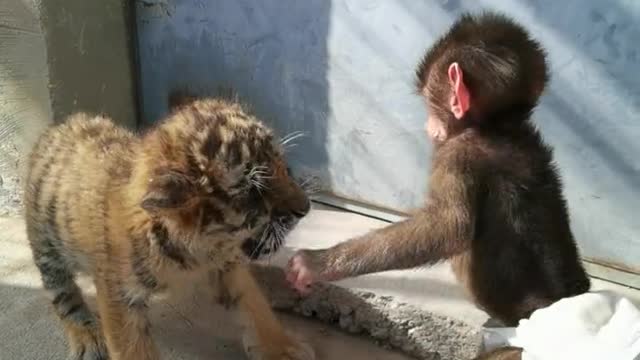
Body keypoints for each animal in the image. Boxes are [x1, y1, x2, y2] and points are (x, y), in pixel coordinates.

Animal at [288, 9, 588, 338]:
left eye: (429, 102)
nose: (426, 126)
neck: (496, 126)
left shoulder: (454, 154)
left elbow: (447, 226)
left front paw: (316, 264)